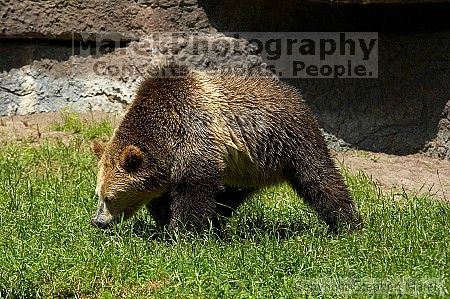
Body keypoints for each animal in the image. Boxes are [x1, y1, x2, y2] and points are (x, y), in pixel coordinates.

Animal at [91, 63, 362, 232]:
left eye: (109, 197)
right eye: (98, 194)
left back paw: (348, 224)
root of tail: (294, 93)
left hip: (289, 139)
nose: (97, 221)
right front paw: (165, 223)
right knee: (231, 194)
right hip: (247, 166)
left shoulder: (194, 136)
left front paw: (182, 232)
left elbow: (193, 191)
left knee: (319, 177)